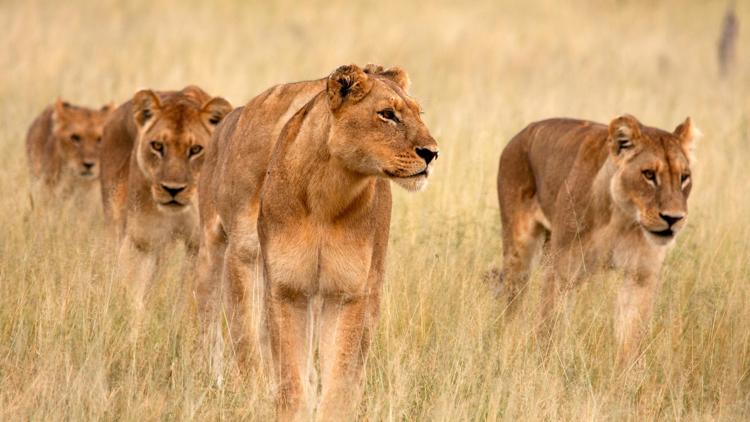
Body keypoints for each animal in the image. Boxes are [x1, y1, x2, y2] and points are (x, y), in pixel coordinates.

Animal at [100, 85, 232, 310]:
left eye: (195, 149)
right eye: (157, 146)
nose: (173, 190)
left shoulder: (198, 243)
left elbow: (190, 294)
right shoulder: (143, 239)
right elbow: (133, 293)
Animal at [197, 64, 438, 420]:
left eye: (418, 114)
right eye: (387, 114)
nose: (432, 153)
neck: (327, 193)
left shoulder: (348, 292)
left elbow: (341, 373)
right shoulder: (285, 287)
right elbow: (283, 369)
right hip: (223, 251)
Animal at [496, 114, 704, 362]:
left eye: (684, 178)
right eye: (649, 175)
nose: (674, 218)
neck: (622, 219)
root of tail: (522, 132)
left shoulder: (641, 275)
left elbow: (631, 337)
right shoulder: (563, 272)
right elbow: (550, 328)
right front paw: (544, 366)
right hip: (519, 252)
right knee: (512, 306)